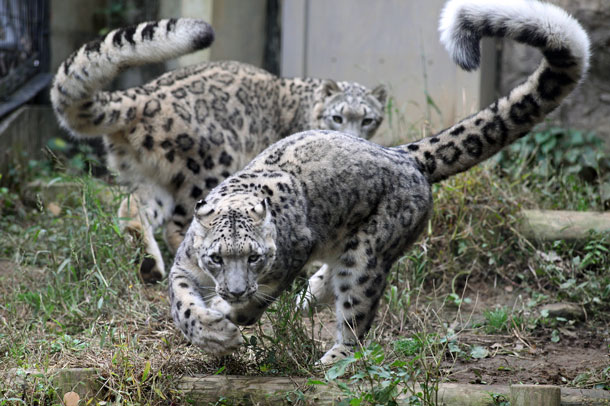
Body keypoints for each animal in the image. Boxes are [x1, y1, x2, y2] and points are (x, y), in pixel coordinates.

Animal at [51, 16, 384, 282]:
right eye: (337, 116)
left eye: (367, 119)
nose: (349, 134)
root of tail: (141, 96)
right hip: (208, 172)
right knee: (181, 228)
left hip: (148, 178)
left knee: (131, 208)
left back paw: (149, 266)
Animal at [167, 0, 588, 364]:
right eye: (216, 257)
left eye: (254, 257)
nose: (234, 288)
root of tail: (402, 154)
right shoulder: (185, 264)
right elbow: (181, 299)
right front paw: (209, 329)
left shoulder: (290, 256)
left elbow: (261, 297)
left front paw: (230, 317)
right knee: (328, 279)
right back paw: (305, 299)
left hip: (368, 256)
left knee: (355, 315)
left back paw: (331, 359)